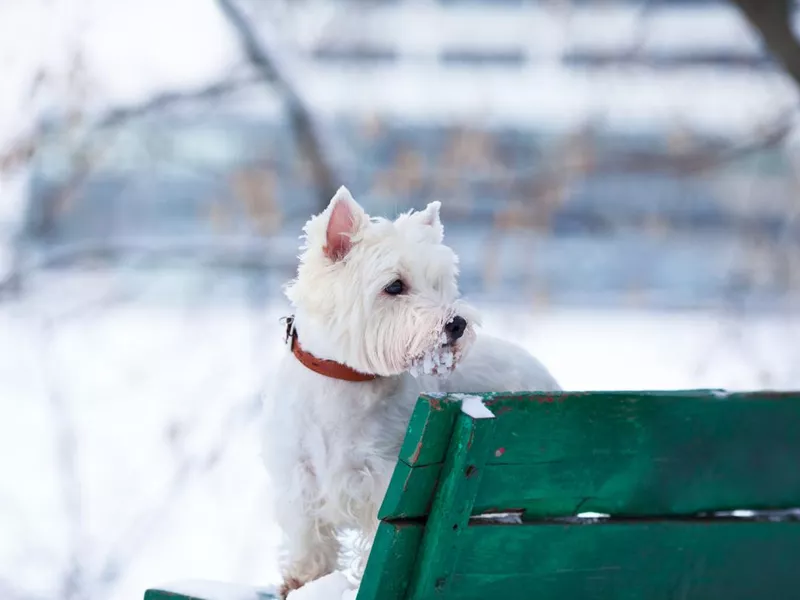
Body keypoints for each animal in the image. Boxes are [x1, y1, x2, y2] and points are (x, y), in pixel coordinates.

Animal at [260, 186, 556, 596]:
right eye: (395, 286)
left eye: (439, 283)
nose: (457, 324)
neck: (344, 379)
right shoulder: (299, 476)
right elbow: (309, 539)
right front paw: (302, 582)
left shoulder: (385, 482)